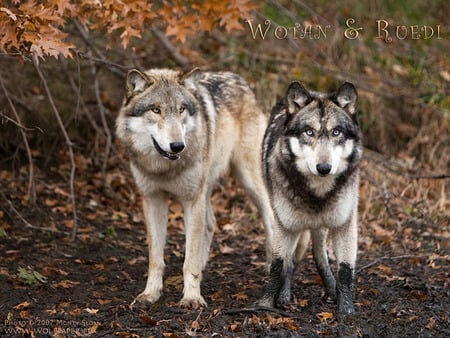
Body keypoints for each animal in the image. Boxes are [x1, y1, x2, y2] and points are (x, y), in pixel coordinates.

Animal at [114, 67, 272, 308]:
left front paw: (192, 298)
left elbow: (189, 261)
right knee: (211, 223)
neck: (164, 168)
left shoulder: (191, 201)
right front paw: (150, 293)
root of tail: (241, 80)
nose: (178, 145)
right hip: (206, 188)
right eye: (156, 110)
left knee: (270, 217)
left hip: (248, 180)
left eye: (181, 109)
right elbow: (156, 258)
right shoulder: (153, 200)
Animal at [256, 80, 362, 314]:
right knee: (291, 261)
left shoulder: (345, 225)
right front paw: (265, 303)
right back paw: (284, 295)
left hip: (320, 225)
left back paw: (331, 286)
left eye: (336, 132)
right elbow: (278, 265)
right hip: (292, 224)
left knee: (318, 252)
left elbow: (345, 270)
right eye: (309, 132)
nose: (324, 168)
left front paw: (346, 309)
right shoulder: (285, 225)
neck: (317, 194)